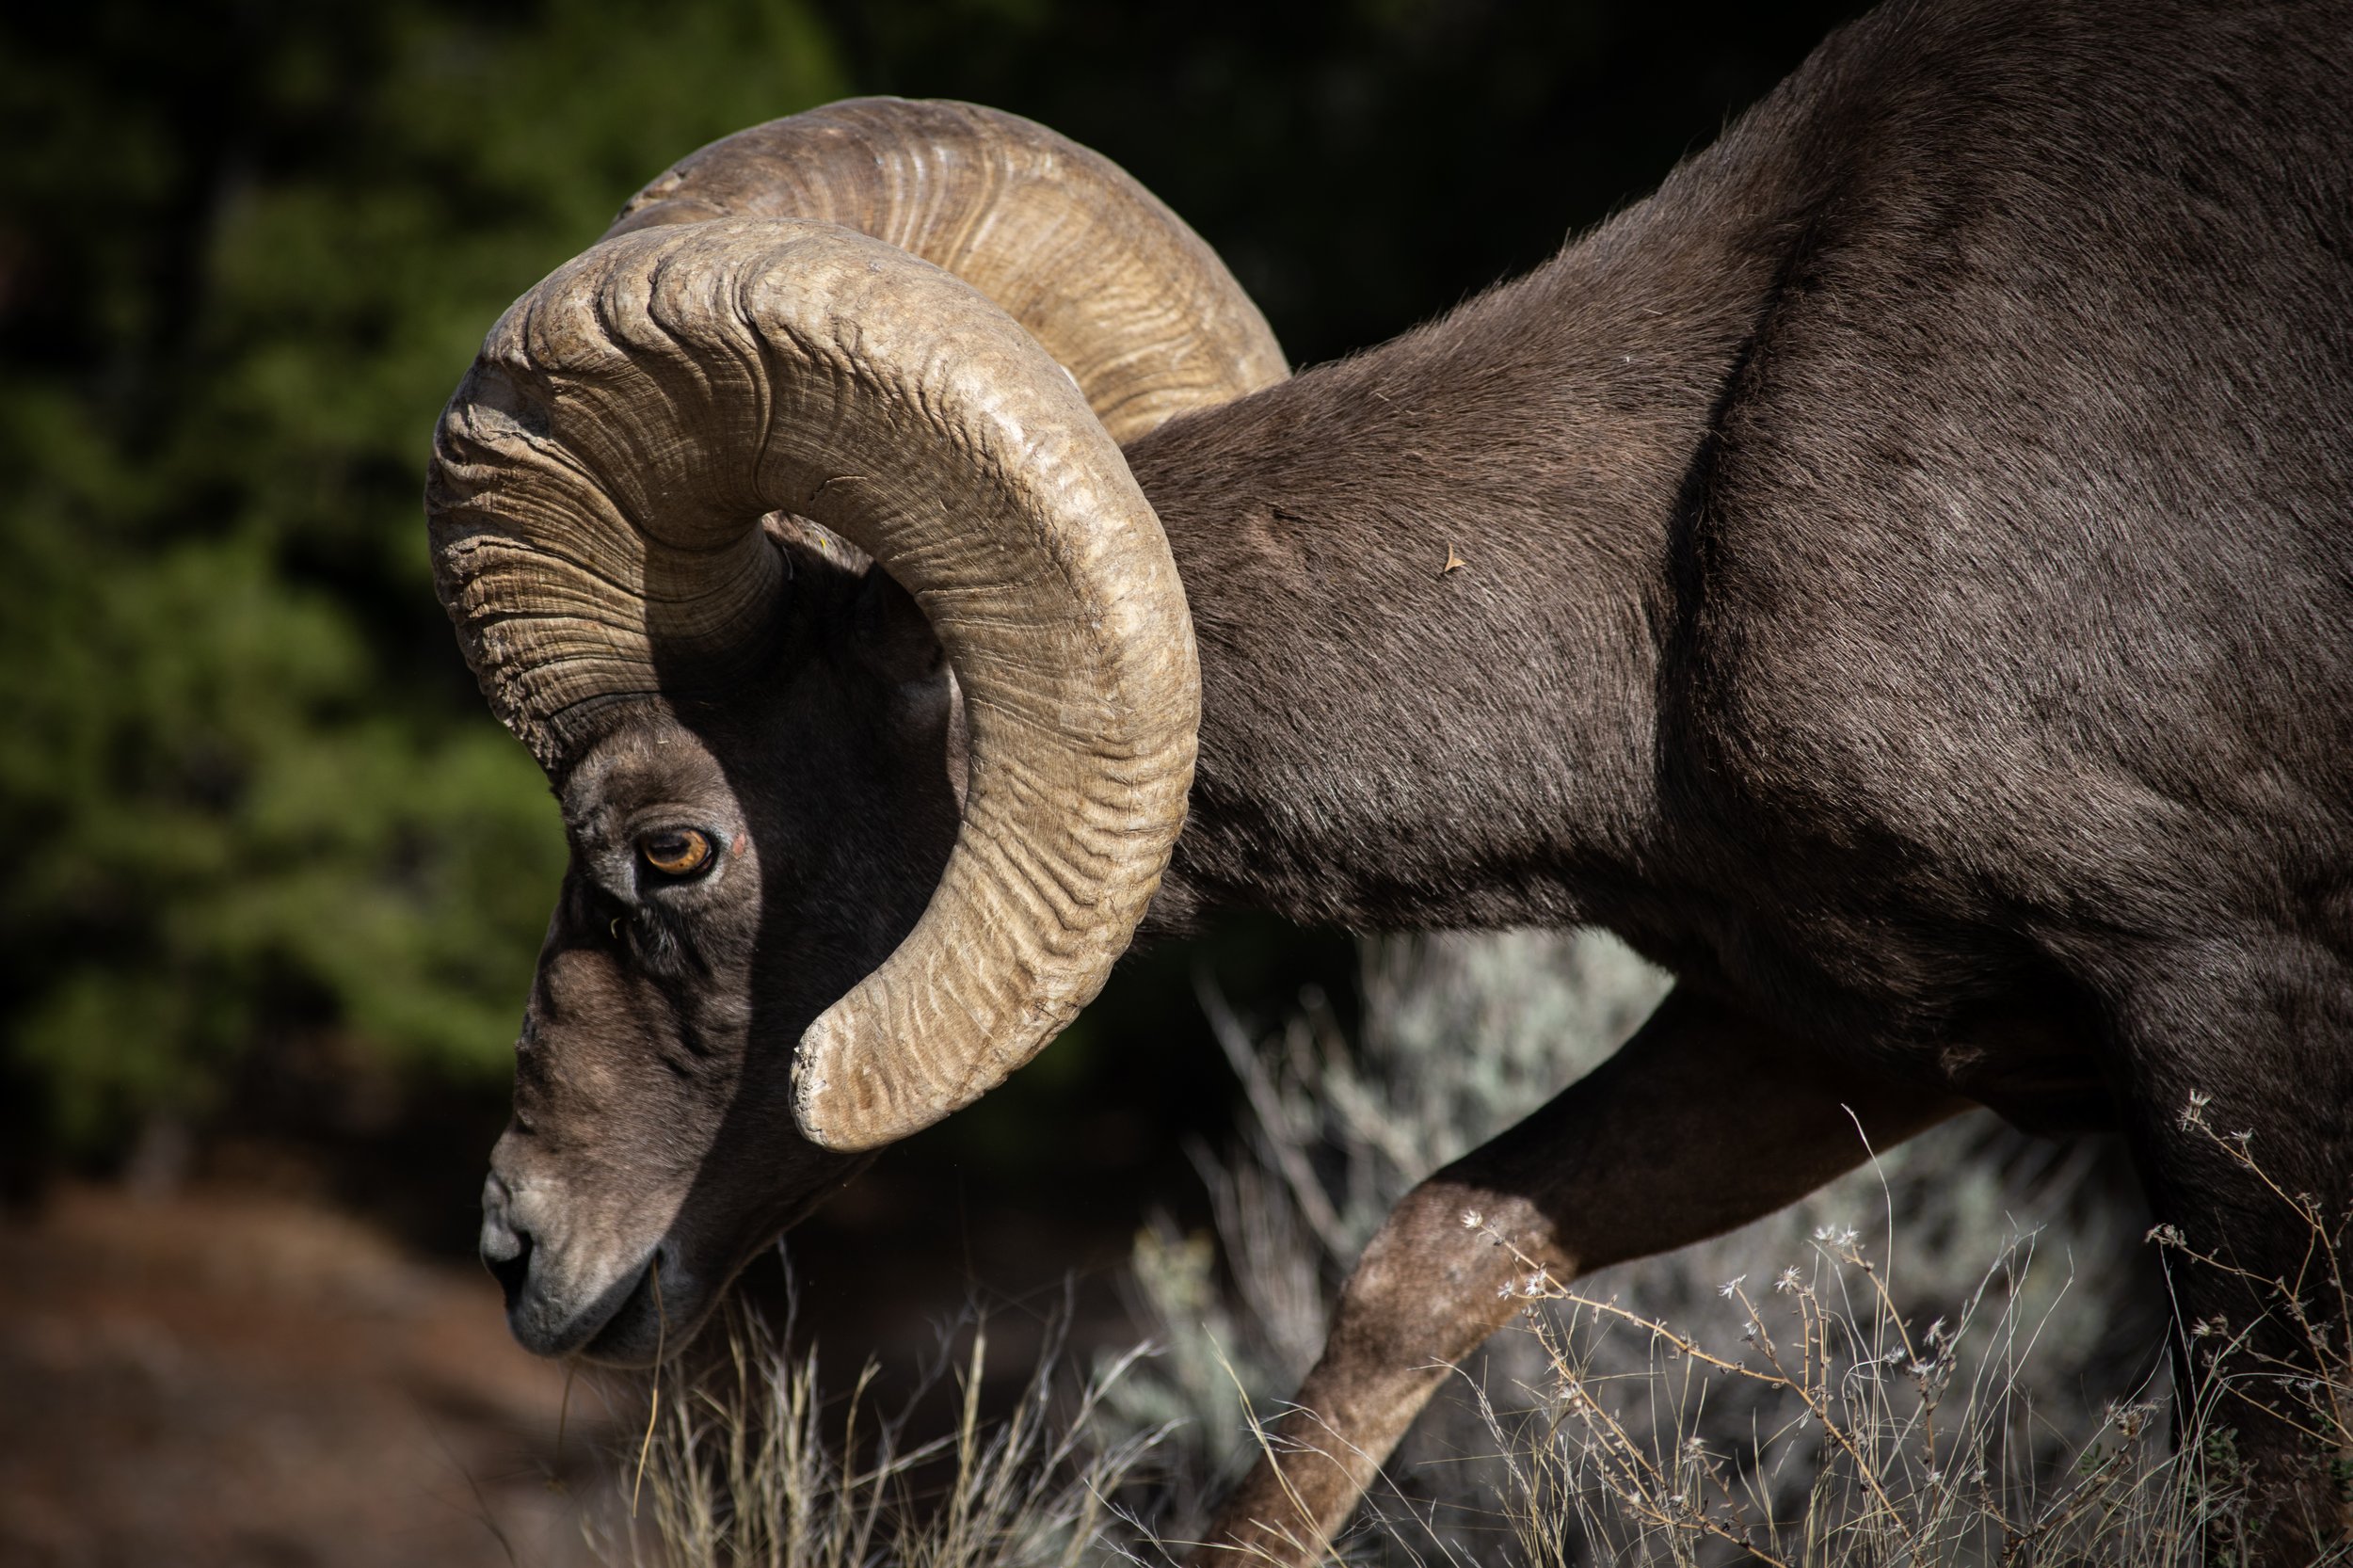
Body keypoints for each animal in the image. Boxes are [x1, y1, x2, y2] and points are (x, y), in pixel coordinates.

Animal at [429, 0, 2353, 1559]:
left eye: (672, 847)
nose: (521, 1249)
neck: (1676, 555)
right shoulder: (1835, 1039)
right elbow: (1425, 1264)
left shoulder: (2224, 1008)